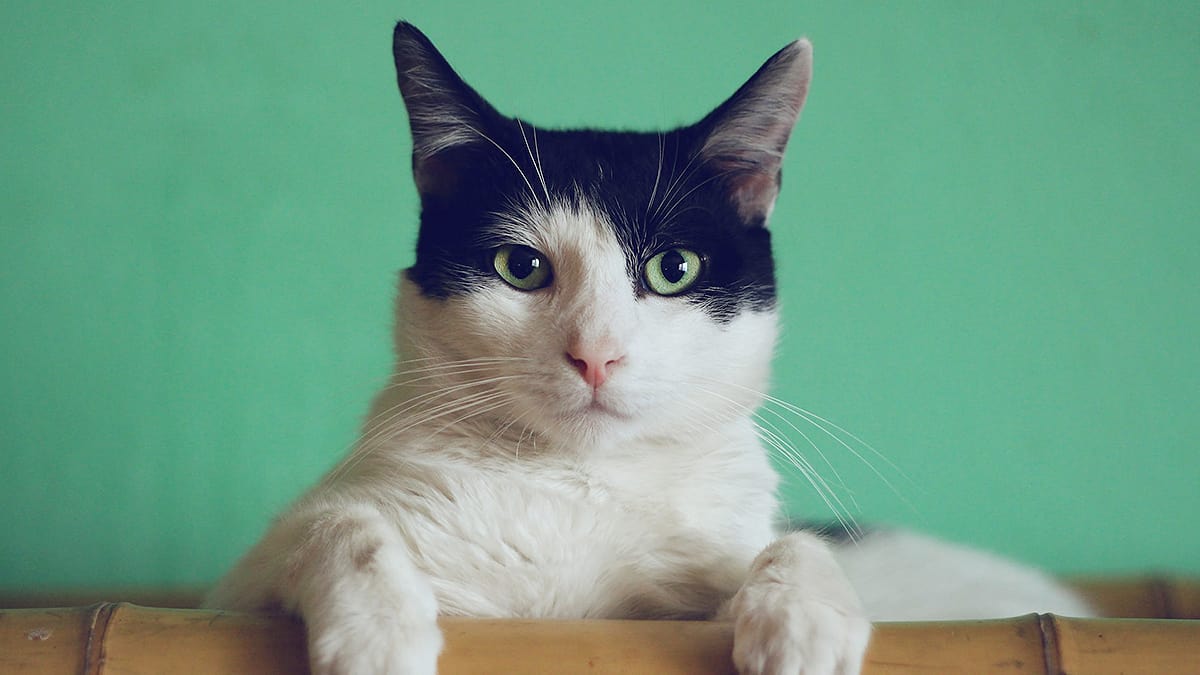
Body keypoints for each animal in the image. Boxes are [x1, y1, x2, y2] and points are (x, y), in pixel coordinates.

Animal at [208, 21, 1099, 672]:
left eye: (674, 269)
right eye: (520, 267)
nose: (596, 353)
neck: (577, 486)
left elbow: (789, 544)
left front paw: (802, 619)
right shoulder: (235, 590)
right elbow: (337, 525)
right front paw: (379, 632)